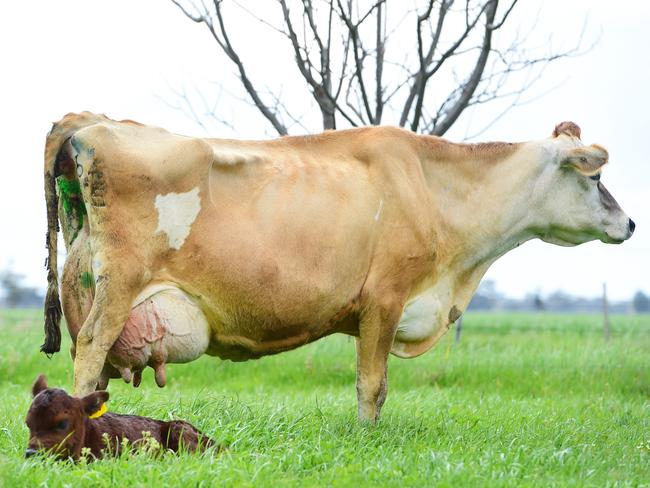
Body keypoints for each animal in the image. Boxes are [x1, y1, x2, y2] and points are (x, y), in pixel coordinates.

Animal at [41, 114, 632, 424]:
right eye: (596, 176)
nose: (628, 224)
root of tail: (92, 123)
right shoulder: (385, 300)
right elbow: (372, 386)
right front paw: (368, 436)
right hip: (118, 288)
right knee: (90, 350)